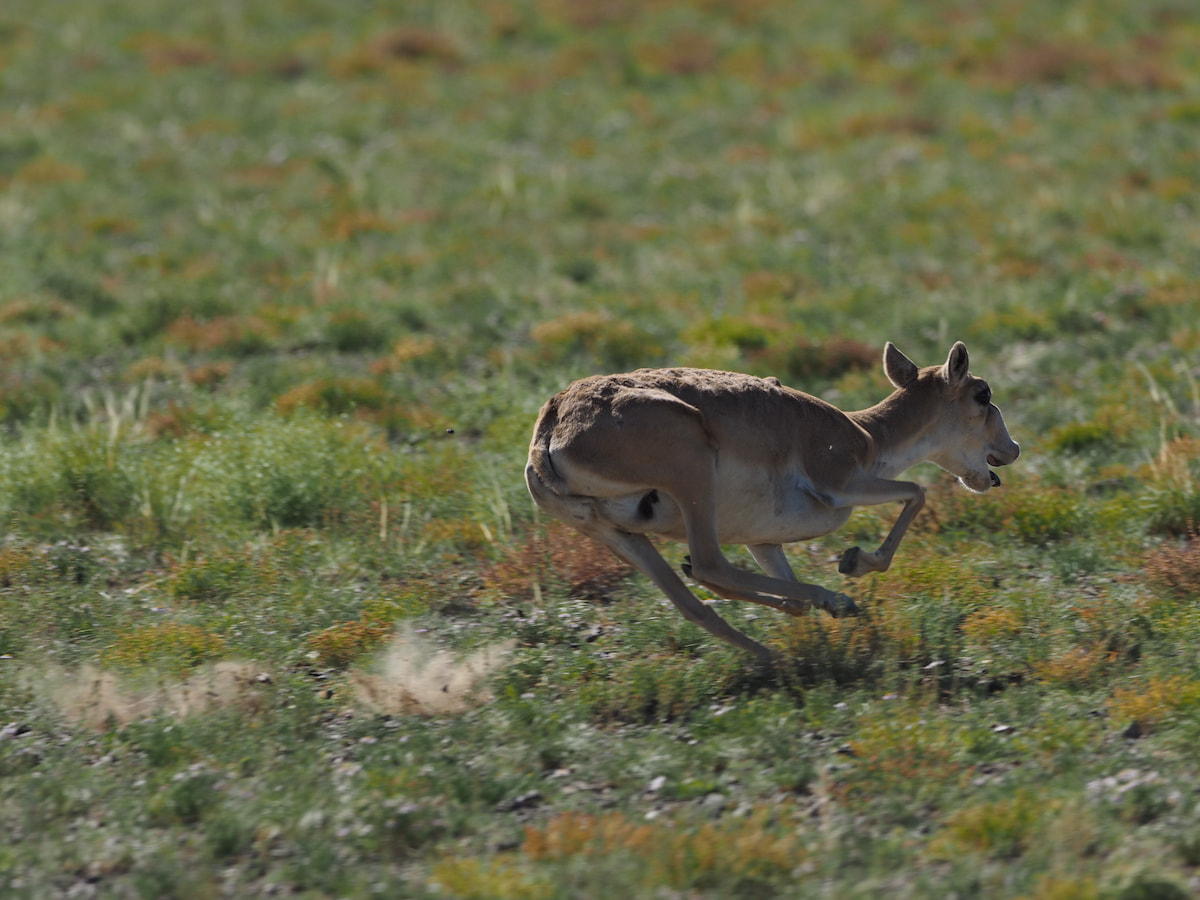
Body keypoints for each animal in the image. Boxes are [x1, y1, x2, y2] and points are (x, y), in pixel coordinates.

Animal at [525, 343, 1022, 662]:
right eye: (983, 394)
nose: (1012, 449)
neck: (866, 434)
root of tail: (552, 425)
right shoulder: (841, 485)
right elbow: (916, 492)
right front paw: (852, 563)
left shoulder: (763, 543)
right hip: (692, 475)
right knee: (710, 565)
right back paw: (835, 602)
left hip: (620, 534)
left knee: (694, 601)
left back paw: (775, 655)